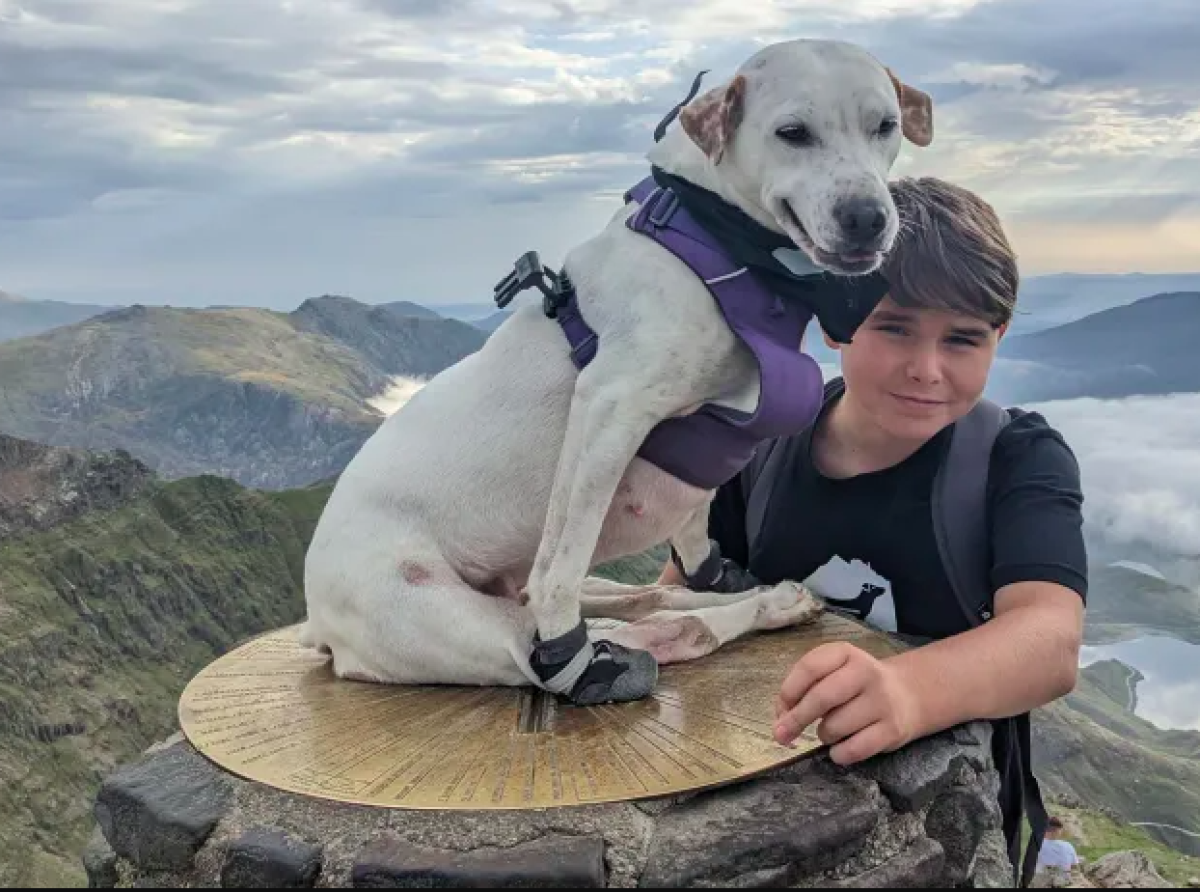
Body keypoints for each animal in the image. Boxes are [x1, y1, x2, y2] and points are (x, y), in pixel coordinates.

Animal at [297, 38, 926, 705]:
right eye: (792, 132)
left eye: (884, 125)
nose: (867, 217)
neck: (716, 240)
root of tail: (318, 622)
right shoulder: (610, 405)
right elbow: (563, 564)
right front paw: (570, 642)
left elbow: (695, 526)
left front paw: (717, 575)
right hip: (457, 619)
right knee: (647, 632)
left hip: (547, 590)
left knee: (648, 599)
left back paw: (761, 602)